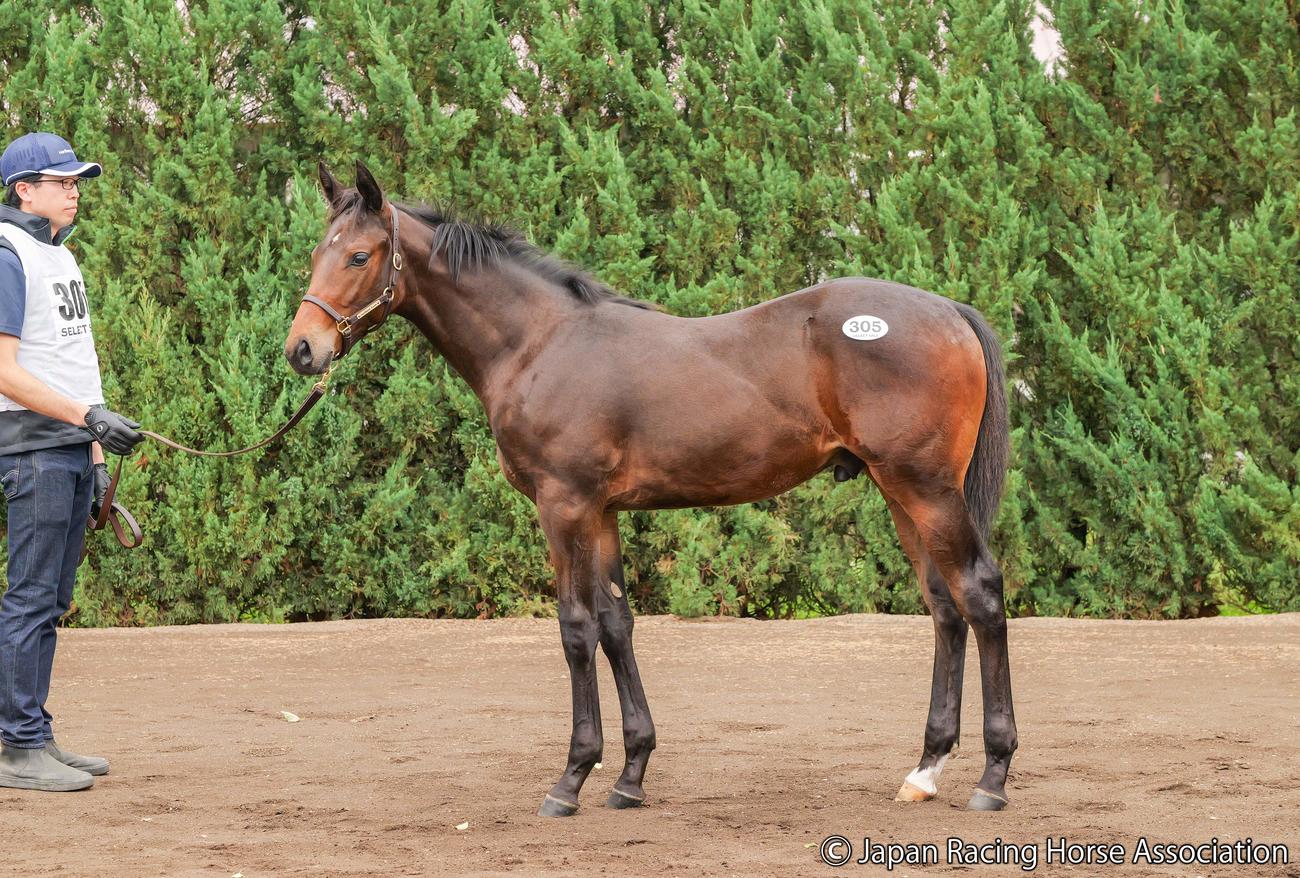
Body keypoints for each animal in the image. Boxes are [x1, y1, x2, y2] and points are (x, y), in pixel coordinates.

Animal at [284, 162, 1018, 816]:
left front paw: (571, 779)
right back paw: (924, 771)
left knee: (979, 593)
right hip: (900, 494)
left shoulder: (564, 507)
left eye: (358, 256)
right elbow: (617, 626)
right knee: (944, 607)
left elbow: (576, 629)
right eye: (317, 253)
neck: (540, 344)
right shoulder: (602, 512)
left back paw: (993, 777)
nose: (302, 350)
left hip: (925, 489)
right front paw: (630, 775)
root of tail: (949, 310)